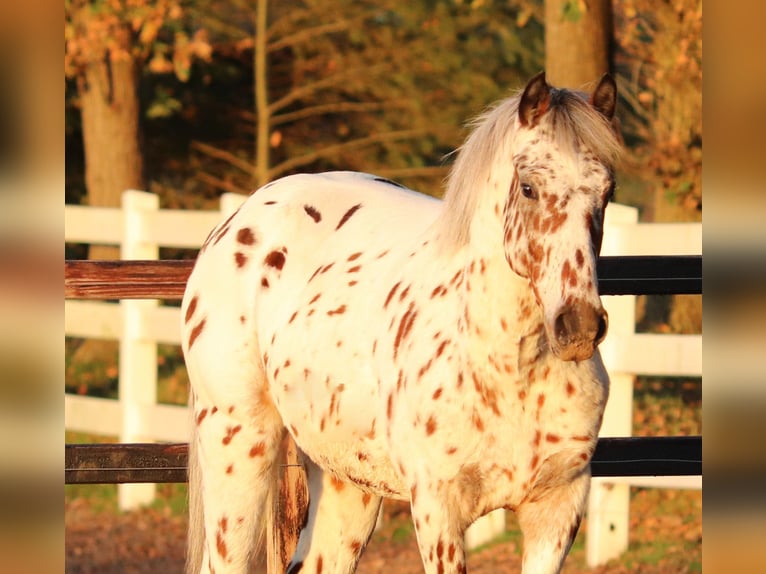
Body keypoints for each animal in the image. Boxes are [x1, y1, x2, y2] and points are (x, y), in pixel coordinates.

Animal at [184, 73, 624, 574]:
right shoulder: (437, 509)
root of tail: (239, 218)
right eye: (529, 188)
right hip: (238, 449)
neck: (509, 368)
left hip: (345, 482)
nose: (579, 326)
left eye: (607, 193)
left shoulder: (557, 509)